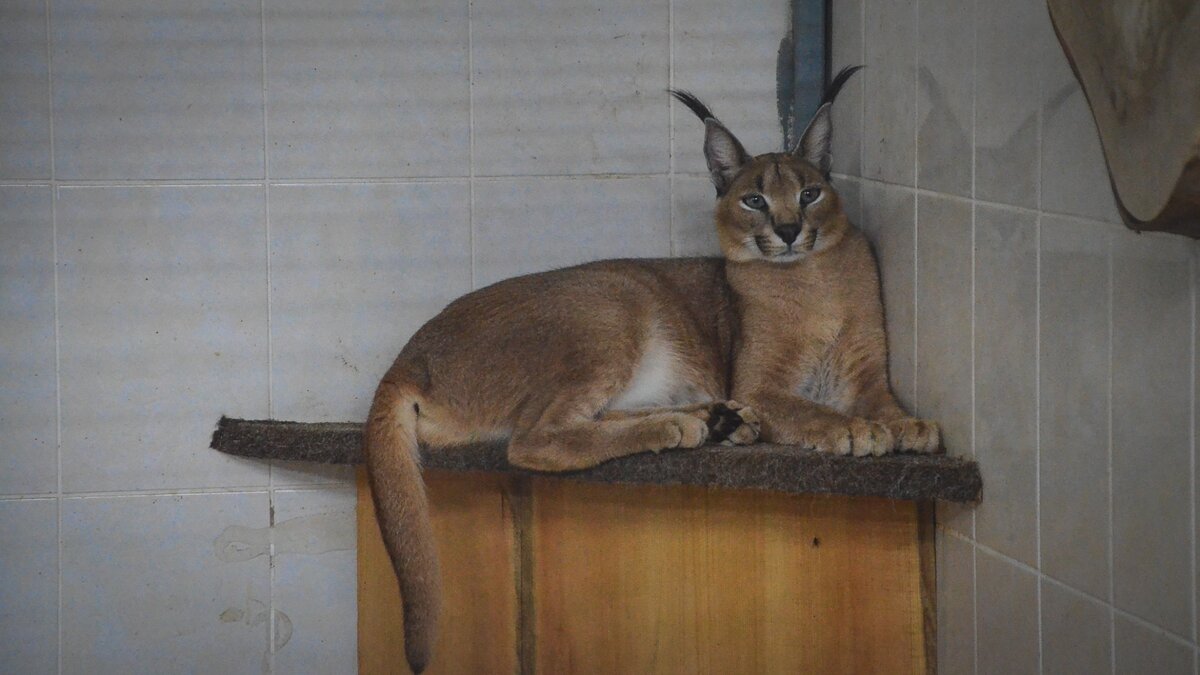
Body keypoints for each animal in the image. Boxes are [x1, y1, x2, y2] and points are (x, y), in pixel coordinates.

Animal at [364, 66, 936, 667]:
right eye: (754, 199)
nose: (786, 230)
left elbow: (883, 402)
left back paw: (714, 420)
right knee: (537, 438)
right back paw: (683, 426)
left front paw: (908, 425)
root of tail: (407, 356)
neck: (814, 276)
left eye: (809, 193)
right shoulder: (760, 383)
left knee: (582, 420)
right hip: (616, 301)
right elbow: (809, 411)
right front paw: (855, 430)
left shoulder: (867, 371)